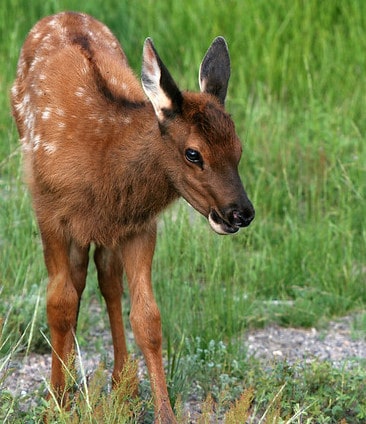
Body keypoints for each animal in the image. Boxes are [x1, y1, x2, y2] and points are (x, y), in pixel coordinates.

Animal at [12, 11, 256, 422]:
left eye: (238, 148)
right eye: (193, 153)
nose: (241, 212)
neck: (103, 160)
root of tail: (65, 14)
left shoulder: (140, 225)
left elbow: (147, 318)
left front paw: (163, 412)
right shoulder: (48, 210)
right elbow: (59, 303)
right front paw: (55, 403)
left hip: (107, 231)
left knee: (105, 279)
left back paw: (121, 383)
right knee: (76, 284)